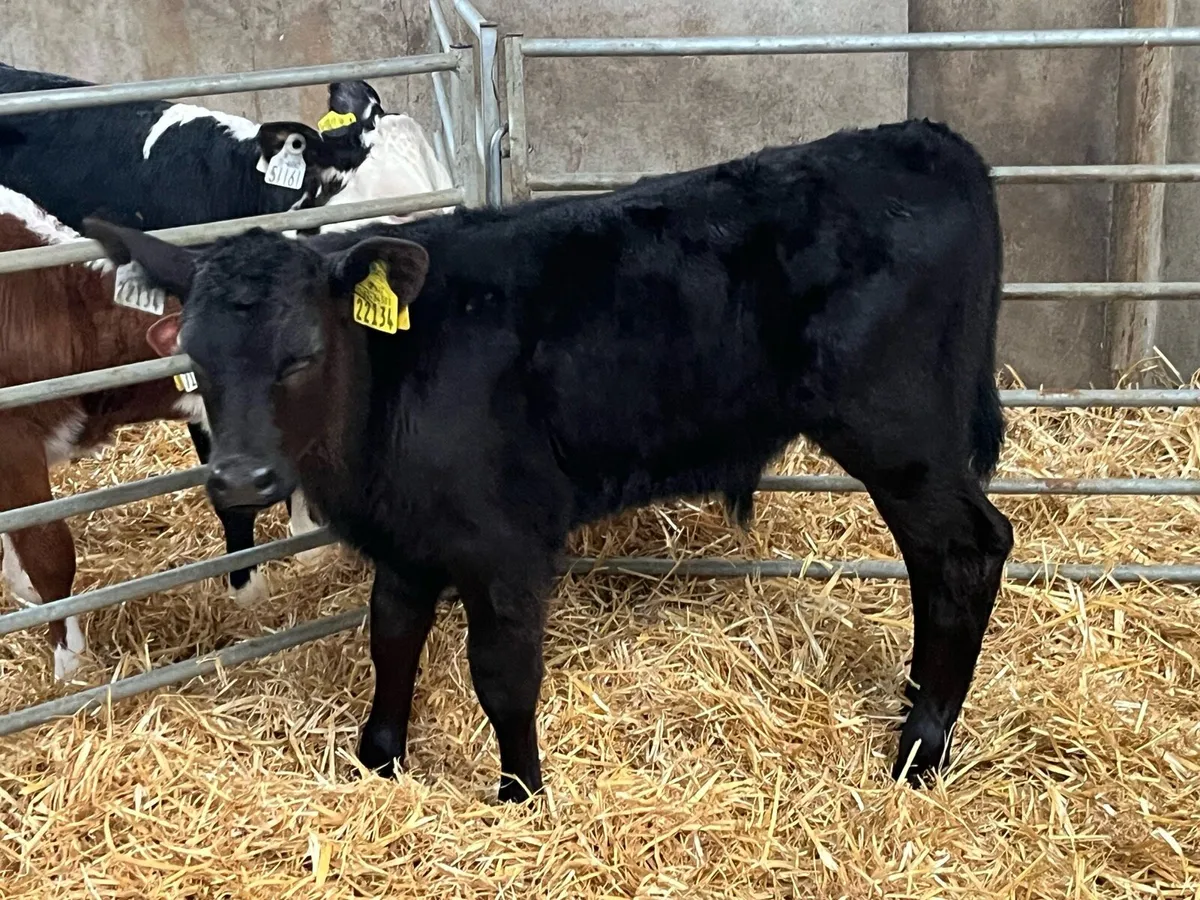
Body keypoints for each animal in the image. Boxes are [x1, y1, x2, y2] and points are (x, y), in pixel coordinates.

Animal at [86, 117, 1015, 800]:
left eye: (301, 354)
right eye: (196, 354)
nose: (239, 478)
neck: (390, 380)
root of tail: (925, 137)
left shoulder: (506, 540)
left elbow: (502, 672)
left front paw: (520, 792)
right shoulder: (407, 539)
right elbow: (391, 637)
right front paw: (378, 757)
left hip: (900, 435)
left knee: (965, 551)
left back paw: (921, 746)